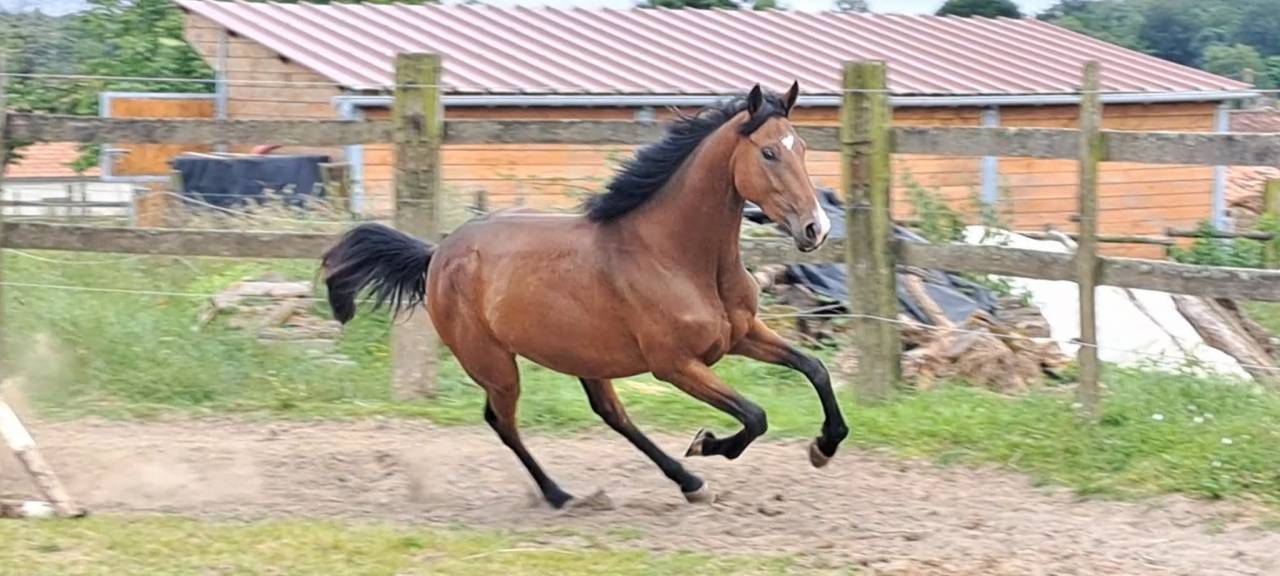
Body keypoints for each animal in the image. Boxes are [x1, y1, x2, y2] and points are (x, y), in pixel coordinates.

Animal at [321, 82, 848, 509]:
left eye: (801, 147)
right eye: (768, 153)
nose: (815, 229)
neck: (677, 256)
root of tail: (437, 254)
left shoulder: (742, 335)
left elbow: (816, 370)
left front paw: (823, 447)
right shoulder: (675, 365)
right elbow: (756, 416)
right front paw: (706, 442)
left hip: (585, 358)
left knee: (611, 414)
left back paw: (689, 483)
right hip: (493, 363)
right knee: (503, 421)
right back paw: (561, 494)